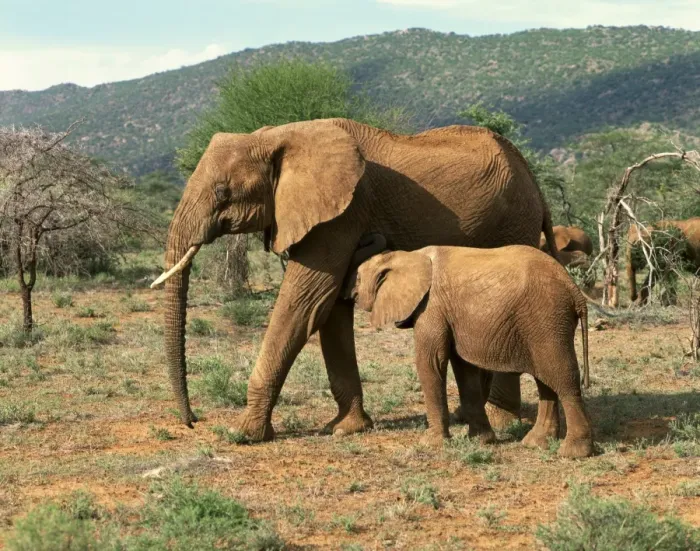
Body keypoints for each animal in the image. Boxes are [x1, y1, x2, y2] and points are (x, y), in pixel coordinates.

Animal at [151, 118, 559, 441]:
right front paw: (346, 429)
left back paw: (501, 422)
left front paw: (243, 434)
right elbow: (329, 310)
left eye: (223, 193)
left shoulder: (340, 216)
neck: (278, 136)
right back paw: (467, 417)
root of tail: (536, 185)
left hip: (513, 222)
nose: (193, 421)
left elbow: (305, 304)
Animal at [344, 244, 593, 458]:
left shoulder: (431, 307)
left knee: (563, 378)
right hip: (543, 326)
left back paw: (573, 453)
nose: (350, 295)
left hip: (548, 319)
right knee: (546, 380)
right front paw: (482, 441)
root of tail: (575, 291)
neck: (408, 255)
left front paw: (431, 444)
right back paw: (535, 444)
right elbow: (465, 370)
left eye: (358, 277)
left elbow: (431, 362)